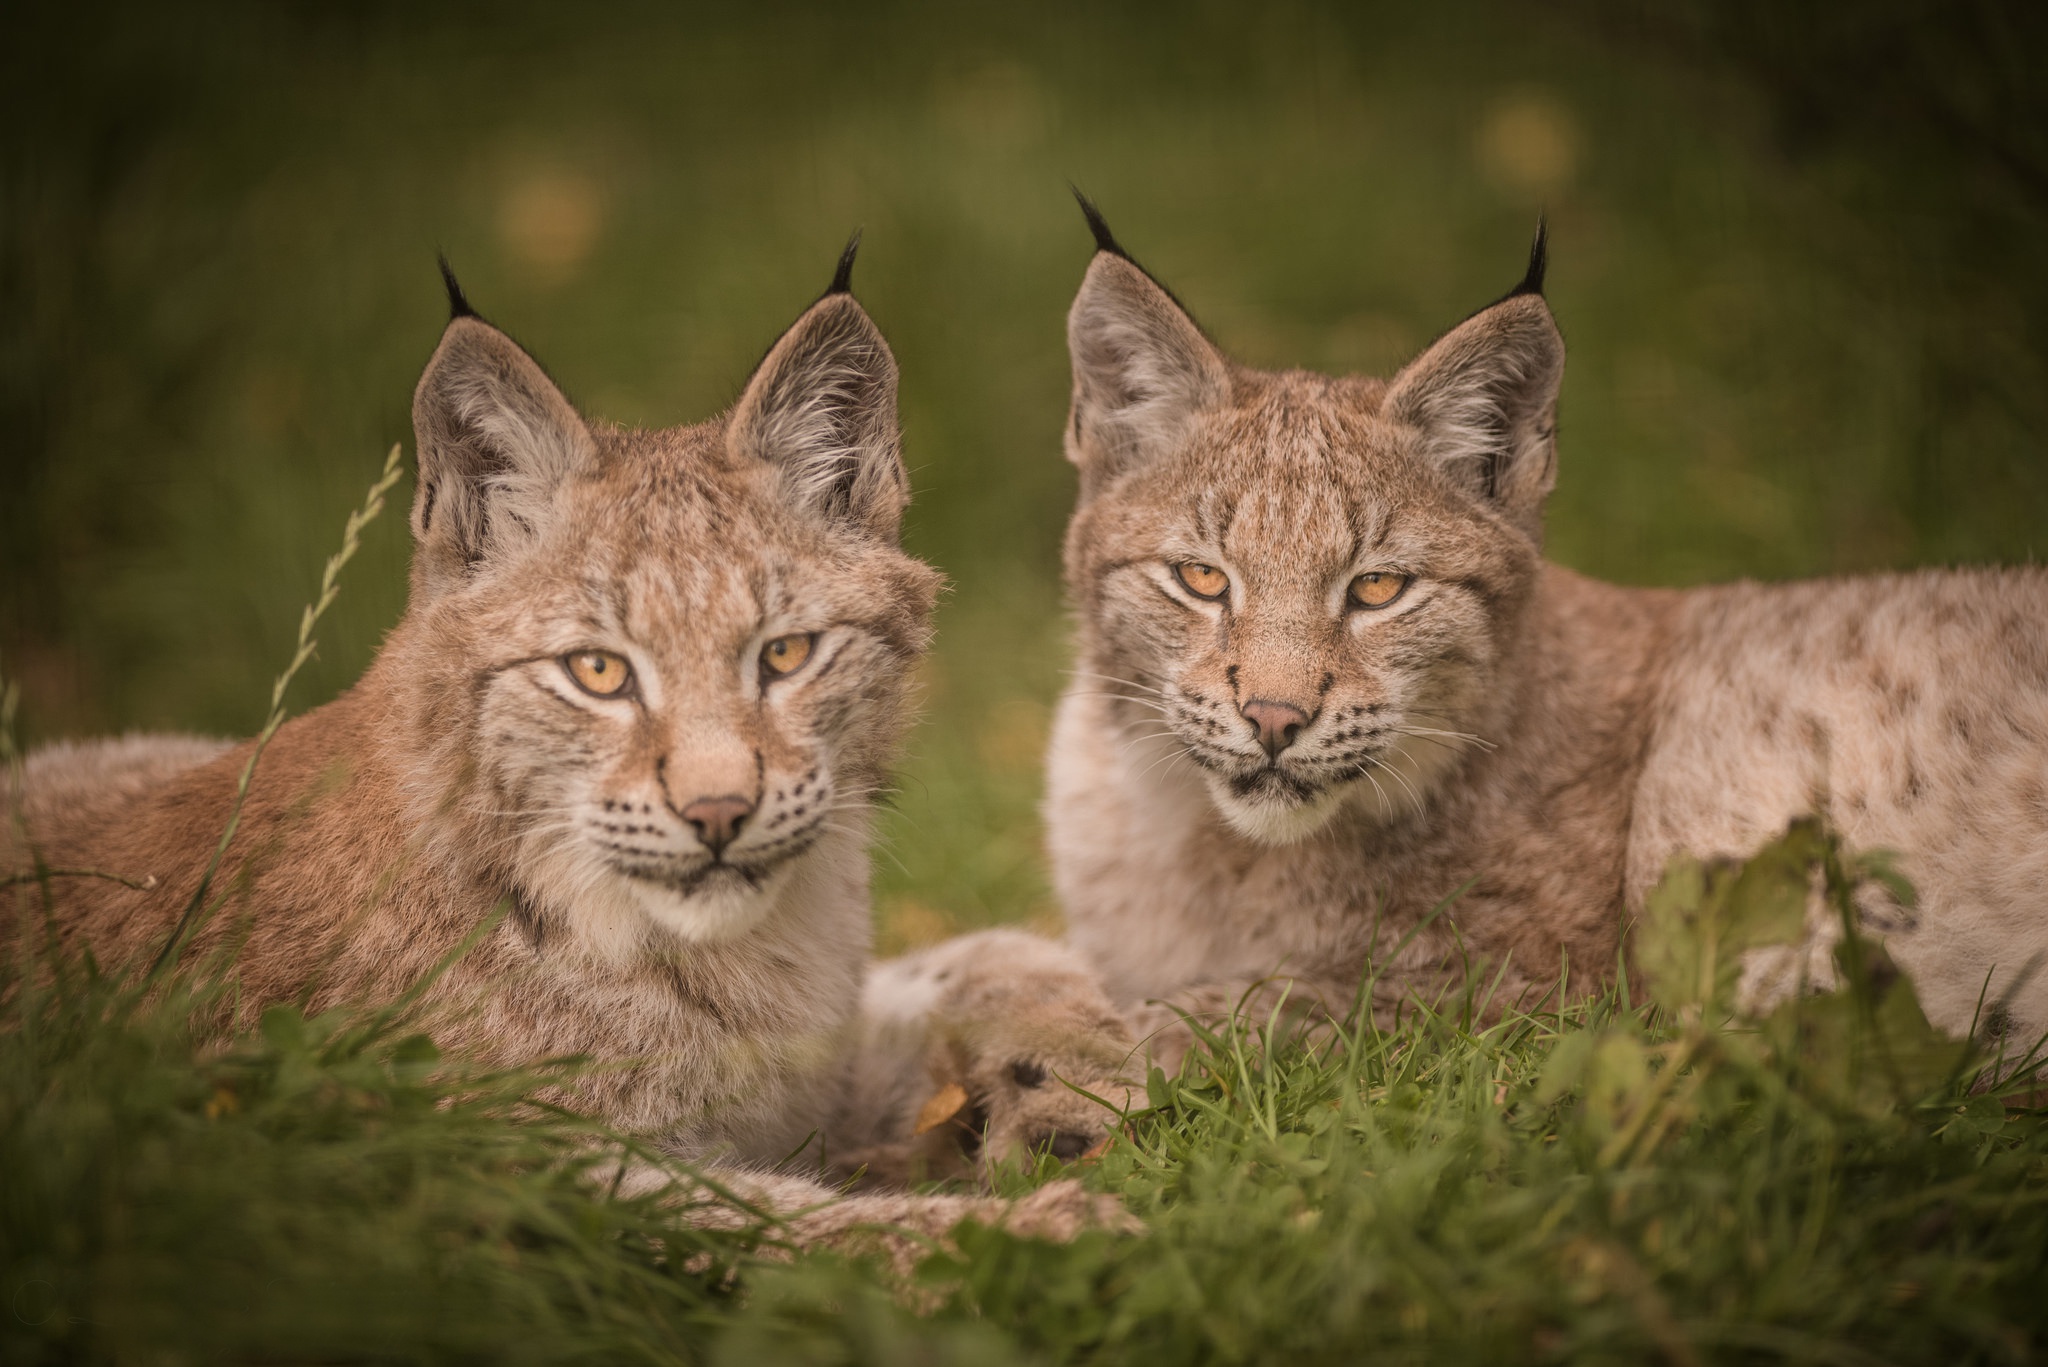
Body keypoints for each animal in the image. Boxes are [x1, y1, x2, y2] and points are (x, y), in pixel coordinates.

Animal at [4, 240, 1122, 1246]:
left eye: (786, 653)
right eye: (597, 672)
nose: (719, 812)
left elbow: (964, 956)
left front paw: (1074, 1056)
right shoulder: (459, 1157)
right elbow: (762, 1216)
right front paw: (1039, 1234)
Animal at [1048, 200, 2048, 1057]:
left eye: (1377, 588)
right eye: (1202, 577)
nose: (1273, 720)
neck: (1186, 823)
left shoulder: (1528, 993)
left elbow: (1222, 1010)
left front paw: (1055, 1071)